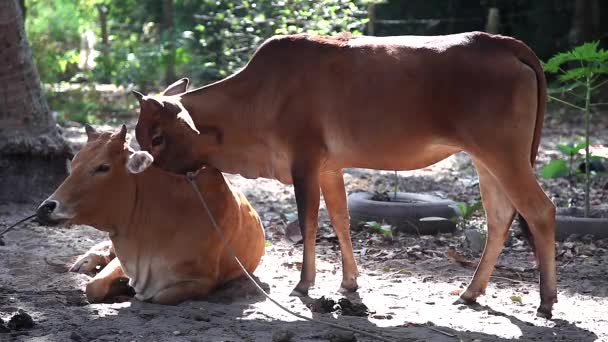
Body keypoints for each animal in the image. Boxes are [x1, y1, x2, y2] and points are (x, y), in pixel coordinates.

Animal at [132, 31, 556, 318]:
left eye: (158, 136)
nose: (144, 170)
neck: (255, 98)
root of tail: (501, 42)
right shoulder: (329, 168)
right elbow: (341, 220)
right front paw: (349, 282)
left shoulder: (303, 160)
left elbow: (308, 221)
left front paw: (304, 283)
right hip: (487, 160)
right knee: (500, 218)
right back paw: (470, 292)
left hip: (504, 154)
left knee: (540, 211)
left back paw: (546, 300)